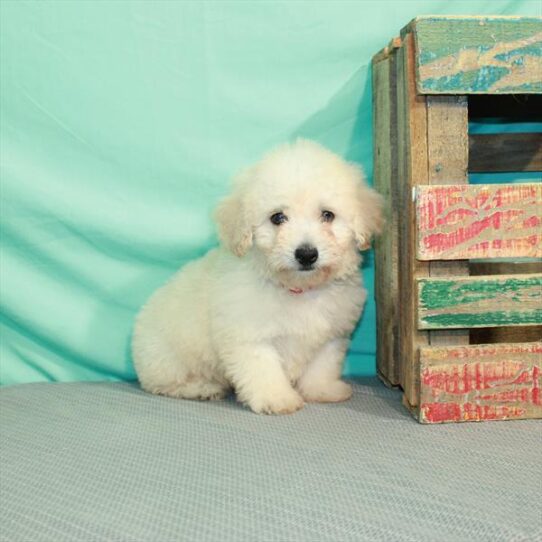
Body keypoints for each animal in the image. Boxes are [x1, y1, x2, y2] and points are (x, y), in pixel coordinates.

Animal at [134, 140, 384, 416]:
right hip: (167, 358)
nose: (306, 254)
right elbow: (263, 369)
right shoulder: (249, 336)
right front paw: (277, 399)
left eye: (327, 215)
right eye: (277, 218)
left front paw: (322, 390)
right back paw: (202, 388)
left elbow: (322, 365)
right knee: (164, 383)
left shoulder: (331, 334)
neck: (297, 288)